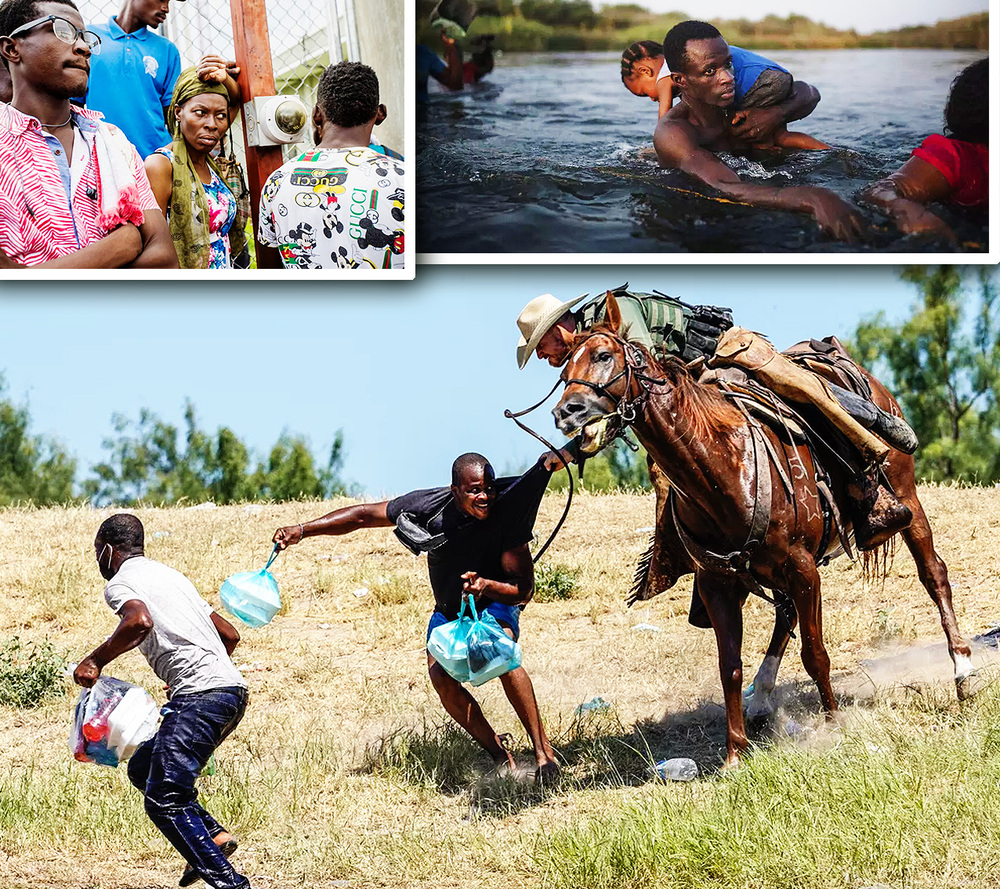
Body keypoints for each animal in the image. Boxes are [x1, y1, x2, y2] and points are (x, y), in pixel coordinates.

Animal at [552, 294, 972, 768]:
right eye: (563, 371)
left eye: (604, 356)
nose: (566, 411)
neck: (723, 469)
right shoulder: (718, 583)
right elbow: (729, 666)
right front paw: (735, 753)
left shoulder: (804, 568)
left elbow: (815, 654)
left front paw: (834, 726)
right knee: (784, 614)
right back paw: (763, 698)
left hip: (906, 498)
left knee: (934, 574)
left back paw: (962, 672)